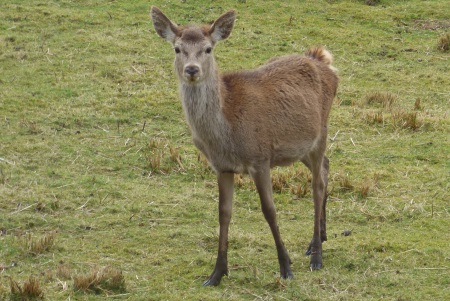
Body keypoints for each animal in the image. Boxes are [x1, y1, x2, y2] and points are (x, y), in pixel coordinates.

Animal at [151, 5, 338, 284]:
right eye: (177, 48)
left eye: (208, 48)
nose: (192, 70)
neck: (225, 133)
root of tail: (325, 63)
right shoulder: (221, 167)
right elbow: (223, 213)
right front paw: (217, 273)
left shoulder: (260, 158)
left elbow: (269, 210)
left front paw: (286, 267)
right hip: (299, 147)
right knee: (326, 166)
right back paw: (320, 238)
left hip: (321, 133)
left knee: (317, 185)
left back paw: (316, 255)